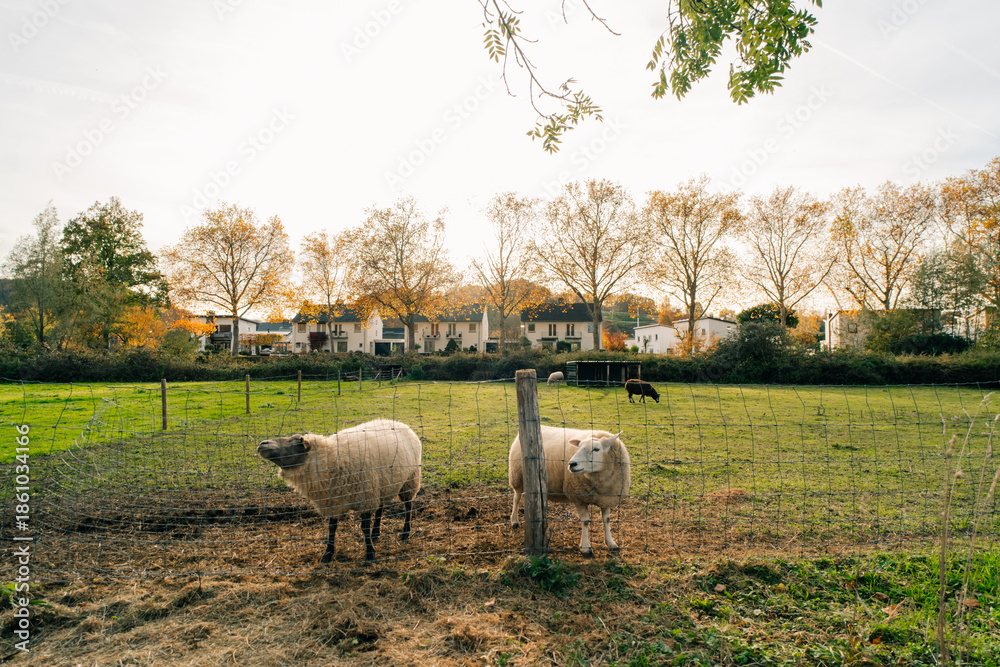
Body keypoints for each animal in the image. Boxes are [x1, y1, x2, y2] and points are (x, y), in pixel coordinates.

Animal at [256, 419, 421, 563]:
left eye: (296, 442)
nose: (262, 444)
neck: (331, 460)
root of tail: (400, 423)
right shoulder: (333, 501)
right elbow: (331, 528)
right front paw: (327, 554)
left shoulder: (365, 498)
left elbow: (364, 528)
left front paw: (370, 554)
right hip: (383, 485)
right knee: (380, 508)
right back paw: (376, 533)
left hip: (409, 481)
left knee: (408, 506)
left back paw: (405, 533)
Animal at [508, 426, 631, 555]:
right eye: (579, 447)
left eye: (596, 449)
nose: (572, 464)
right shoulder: (579, 497)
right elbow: (586, 521)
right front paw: (585, 547)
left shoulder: (607, 497)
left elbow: (606, 520)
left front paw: (611, 543)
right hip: (517, 476)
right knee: (516, 498)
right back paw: (514, 520)